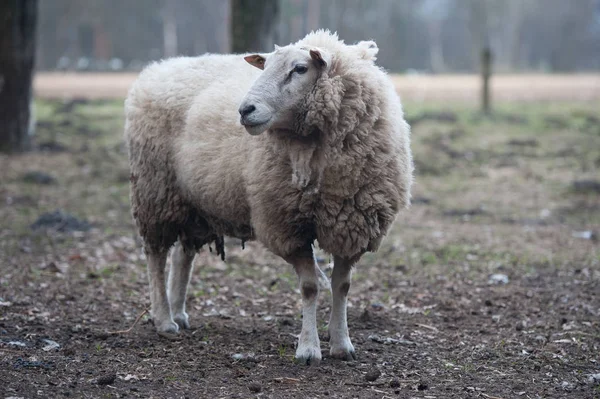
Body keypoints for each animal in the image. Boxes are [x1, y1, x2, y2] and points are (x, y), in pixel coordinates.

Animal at [122, 29, 412, 368]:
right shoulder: (288, 225)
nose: (244, 110)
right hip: (156, 192)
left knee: (184, 254)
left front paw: (341, 343)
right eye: (266, 66)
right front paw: (308, 348)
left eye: (300, 69)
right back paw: (164, 319)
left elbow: (342, 286)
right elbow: (310, 287)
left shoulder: (350, 226)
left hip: (195, 200)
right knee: (155, 256)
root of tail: (159, 67)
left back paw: (179, 312)